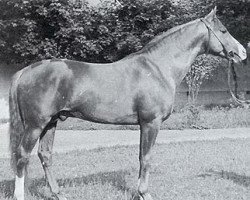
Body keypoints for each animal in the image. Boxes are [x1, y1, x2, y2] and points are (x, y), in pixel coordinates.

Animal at [9, 7, 246, 200]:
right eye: (224, 30)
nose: (242, 52)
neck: (157, 68)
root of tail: (26, 71)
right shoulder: (151, 123)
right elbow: (147, 157)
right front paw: (145, 193)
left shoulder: (144, 124)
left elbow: (141, 157)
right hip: (36, 124)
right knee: (22, 156)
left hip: (51, 122)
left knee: (45, 155)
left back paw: (58, 194)